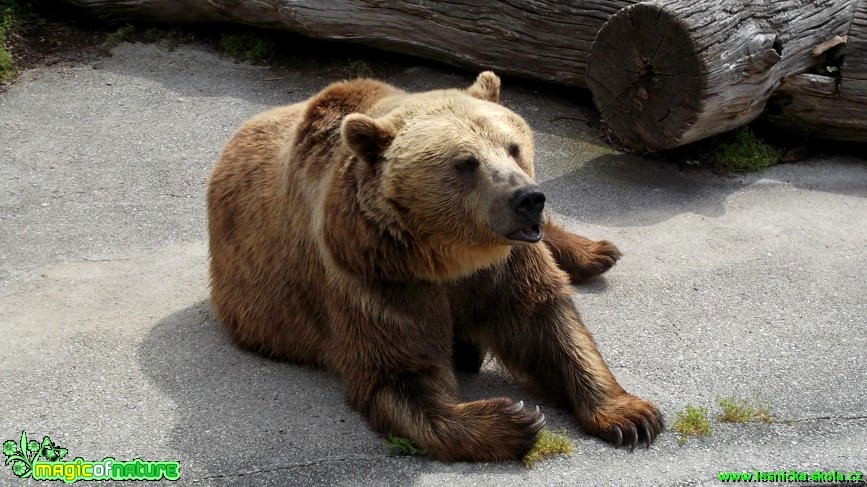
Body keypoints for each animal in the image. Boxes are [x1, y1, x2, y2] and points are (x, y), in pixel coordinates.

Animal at [207, 71, 660, 462]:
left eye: (513, 147)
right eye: (466, 162)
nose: (529, 197)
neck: (451, 258)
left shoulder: (507, 266)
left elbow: (547, 324)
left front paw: (632, 416)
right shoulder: (375, 280)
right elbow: (400, 375)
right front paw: (514, 420)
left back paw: (596, 252)